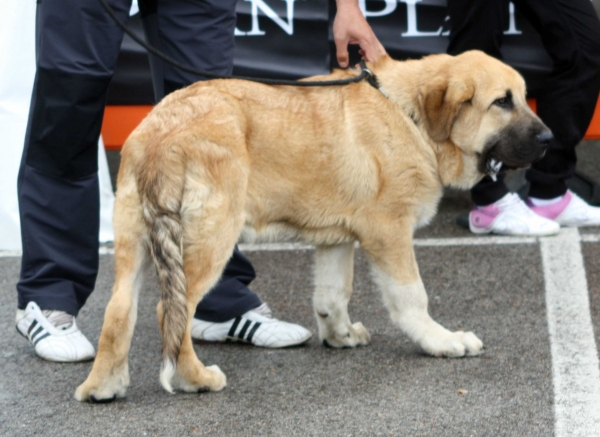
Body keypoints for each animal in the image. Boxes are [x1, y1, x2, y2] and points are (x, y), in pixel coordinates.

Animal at [76, 49, 552, 400]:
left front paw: (339, 335)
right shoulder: (389, 231)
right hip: (211, 238)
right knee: (170, 311)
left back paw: (102, 386)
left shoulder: (337, 239)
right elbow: (411, 296)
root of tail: (161, 130)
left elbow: (332, 293)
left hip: (136, 242)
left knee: (119, 309)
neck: (409, 115)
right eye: (502, 102)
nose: (549, 140)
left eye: (523, 97)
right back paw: (195, 378)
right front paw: (441, 341)